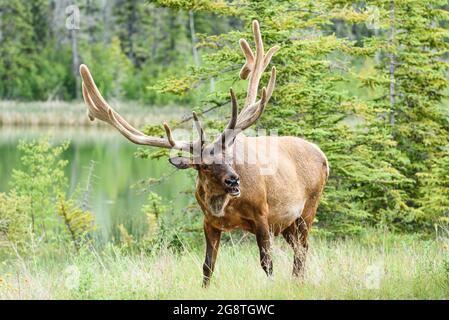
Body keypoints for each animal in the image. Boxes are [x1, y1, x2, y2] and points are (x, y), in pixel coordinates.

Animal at [79, 20, 328, 288]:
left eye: (228, 158)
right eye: (204, 166)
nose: (234, 180)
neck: (225, 207)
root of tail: (324, 156)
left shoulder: (263, 216)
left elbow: (267, 263)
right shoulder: (209, 222)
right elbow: (207, 266)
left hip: (307, 210)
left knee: (302, 250)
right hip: (287, 224)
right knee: (300, 250)